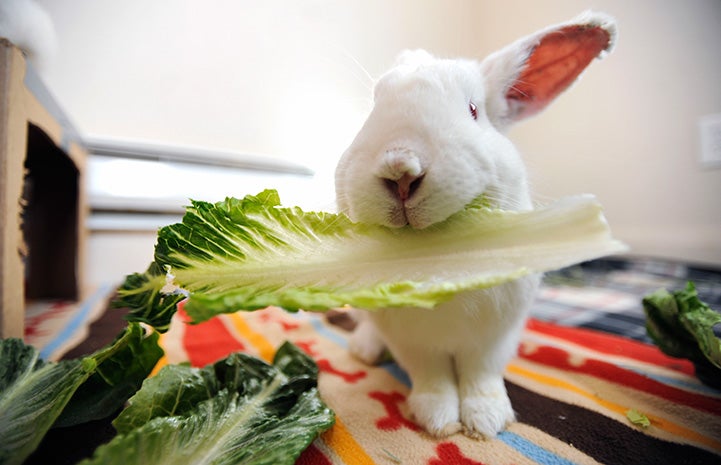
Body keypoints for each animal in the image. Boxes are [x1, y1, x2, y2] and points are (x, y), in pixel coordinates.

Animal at [334, 11, 617, 438]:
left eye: (472, 110)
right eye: (373, 109)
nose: (400, 169)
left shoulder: (496, 336)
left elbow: (482, 374)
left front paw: (486, 421)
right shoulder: (412, 341)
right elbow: (431, 377)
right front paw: (438, 420)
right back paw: (365, 350)